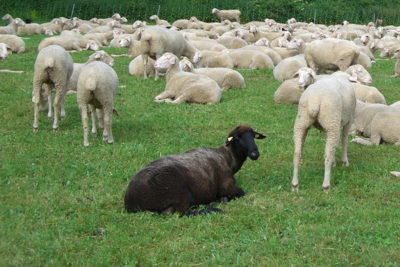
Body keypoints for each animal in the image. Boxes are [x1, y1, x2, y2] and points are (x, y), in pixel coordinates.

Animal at [123, 125, 264, 216]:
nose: (255, 153)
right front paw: (223, 199)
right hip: (179, 192)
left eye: (253, 136)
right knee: (180, 212)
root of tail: (130, 200)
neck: (228, 158)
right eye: (237, 138)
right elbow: (240, 192)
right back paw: (212, 208)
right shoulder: (227, 185)